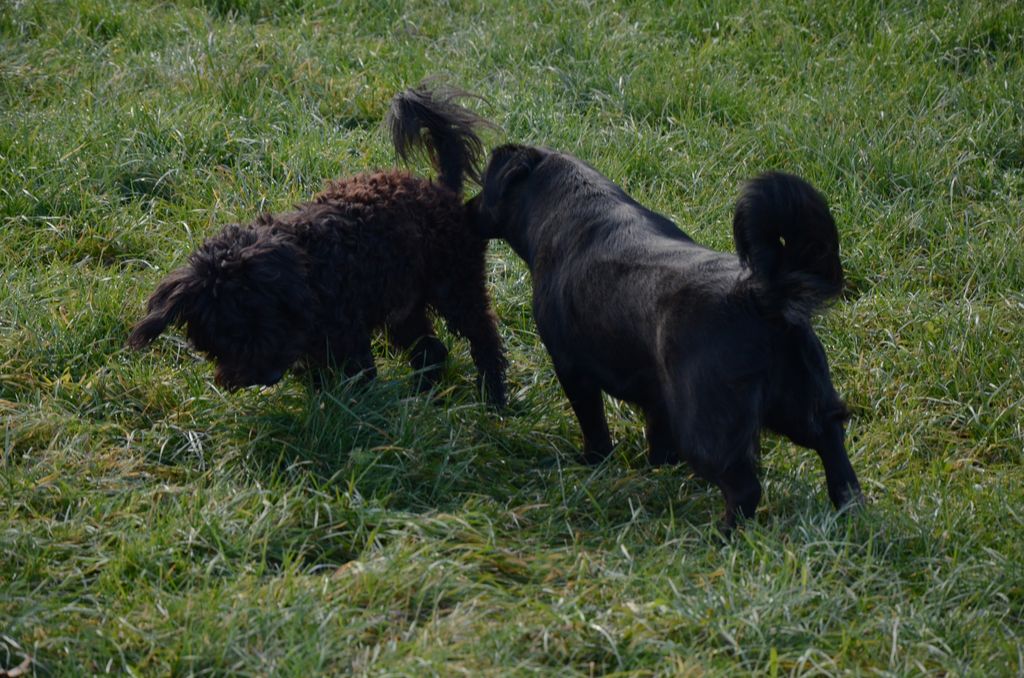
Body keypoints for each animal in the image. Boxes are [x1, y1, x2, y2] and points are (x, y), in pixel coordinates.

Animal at [128, 84, 507, 407]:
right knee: (431, 350)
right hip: (403, 307)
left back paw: (493, 399)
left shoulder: (347, 342)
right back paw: (424, 397)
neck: (307, 272)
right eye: (221, 336)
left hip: (456, 287)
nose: (267, 375)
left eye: (264, 317)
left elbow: (356, 385)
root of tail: (444, 191)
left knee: (484, 337)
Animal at [469, 144, 863, 527]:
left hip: (708, 430)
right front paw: (657, 471)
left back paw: (723, 535)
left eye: (485, 186)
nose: (467, 207)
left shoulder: (572, 370)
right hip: (800, 404)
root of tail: (759, 293)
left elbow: (594, 425)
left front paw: (593, 462)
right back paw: (848, 511)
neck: (571, 205)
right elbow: (658, 438)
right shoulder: (657, 394)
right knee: (833, 448)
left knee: (745, 488)